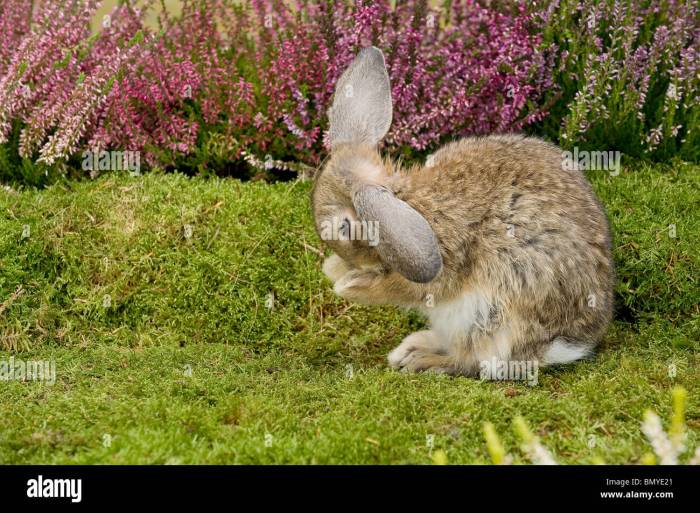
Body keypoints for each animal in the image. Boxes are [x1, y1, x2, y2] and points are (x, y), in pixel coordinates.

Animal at [312, 47, 612, 376]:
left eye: (343, 227)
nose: (351, 264)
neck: (405, 202)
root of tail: (560, 346)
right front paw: (334, 270)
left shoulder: (442, 261)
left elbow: (403, 287)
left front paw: (347, 286)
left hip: (488, 315)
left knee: (474, 360)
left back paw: (420, 359)